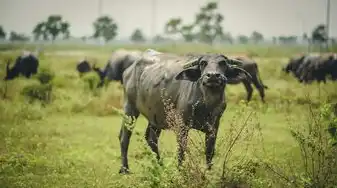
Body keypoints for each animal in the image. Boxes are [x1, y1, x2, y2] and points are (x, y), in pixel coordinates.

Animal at [117, 51, 251, 173]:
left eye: (222, 63)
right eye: (203, 63)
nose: (212, 76)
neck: (206, 104)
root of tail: (129, 70)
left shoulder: (214, 126)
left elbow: (209, 150)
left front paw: (209, 171)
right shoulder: (182, 125)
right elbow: (181, 150)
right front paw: (181, 171)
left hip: (155, 117)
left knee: (151, 139)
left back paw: (160, 166)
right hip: (130, 108)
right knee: (124, 137)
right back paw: (125, 169)